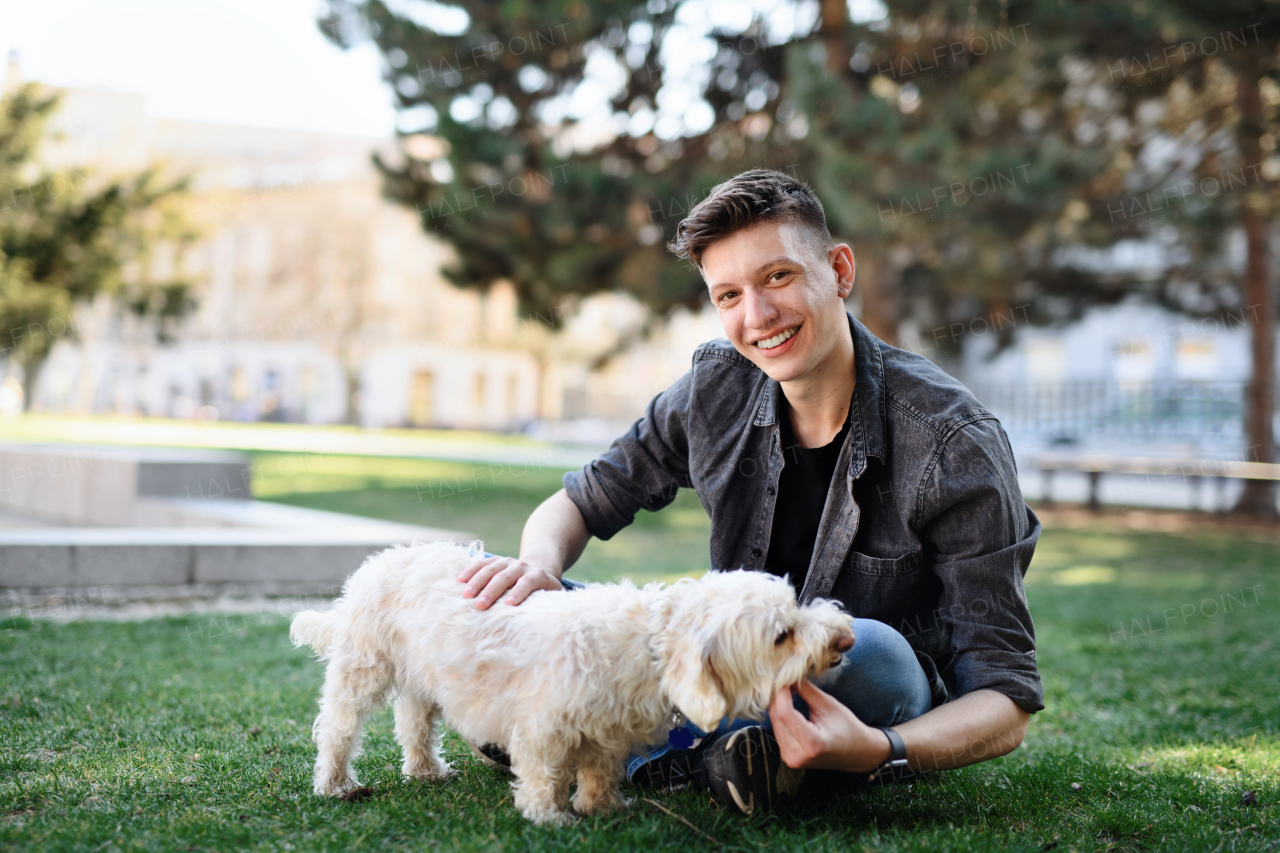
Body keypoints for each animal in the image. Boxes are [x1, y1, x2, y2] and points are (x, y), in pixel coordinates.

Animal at [288, 537, 849, 824]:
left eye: (795, 606)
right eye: (781, 635)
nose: (843, 638)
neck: (645, 645)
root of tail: (380, 559)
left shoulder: (606, 734)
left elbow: (599, 771)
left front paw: (602, 806)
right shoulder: (542, 728)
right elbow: (543, 775)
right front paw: (549, 817)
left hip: (423, 680)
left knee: (414, 724)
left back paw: (425, 770)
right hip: (362, 669)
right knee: (338, 729)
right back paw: (336, 784)